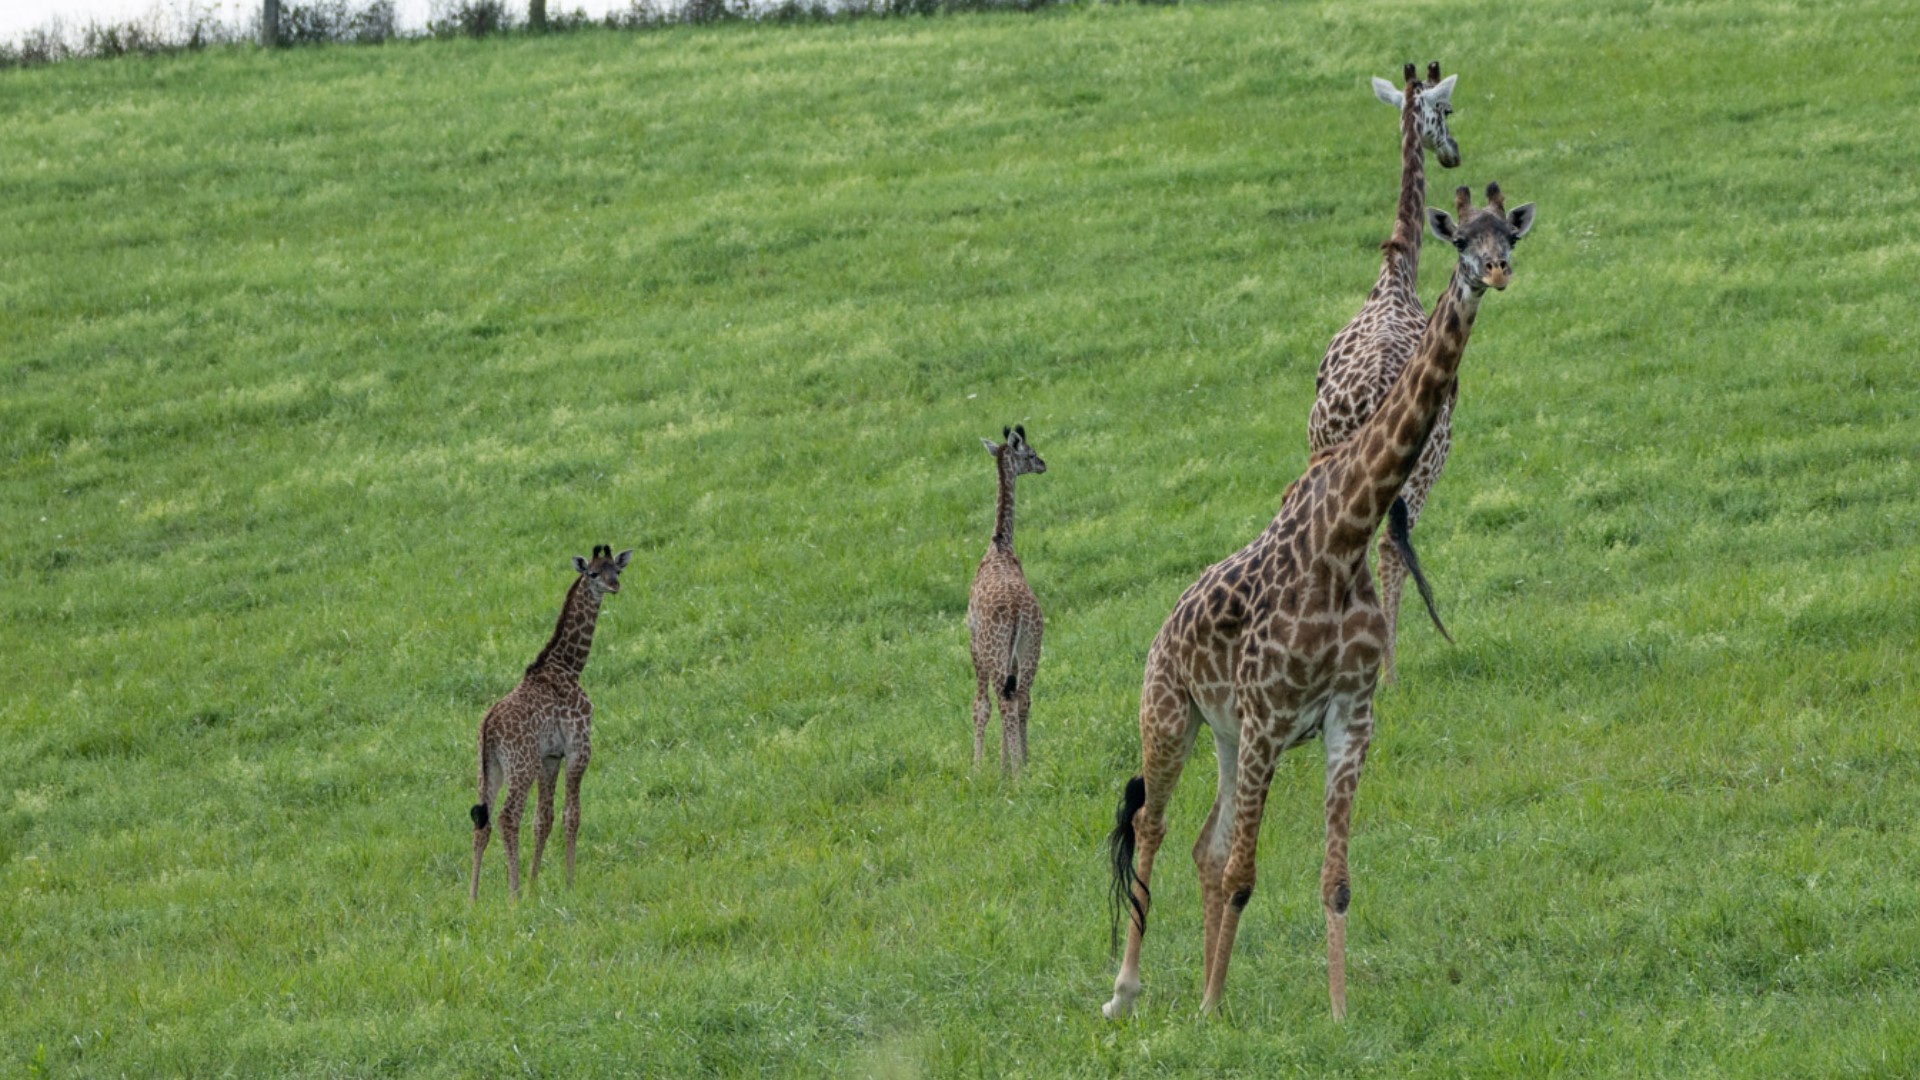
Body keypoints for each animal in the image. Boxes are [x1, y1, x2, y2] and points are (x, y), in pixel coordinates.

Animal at [468, 541, 633, 895]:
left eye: (617, 568)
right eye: (594, 573)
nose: (614, 585)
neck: (568, 666)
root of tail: (489, 726)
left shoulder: (550, 756)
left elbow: (543, 819)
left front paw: (534, 884)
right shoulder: (579, 746)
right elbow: (572, 814)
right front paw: (568, 882)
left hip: (490, 768)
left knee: (481, 822)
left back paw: (473, 898)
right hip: (521, 764)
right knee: (507, 817)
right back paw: (512, 895)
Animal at [1105, 180, 1536, 1014]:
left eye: (1510, 235)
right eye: (1462, 238)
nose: (1496, 272)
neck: (1344, 535)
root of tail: (1164, 626)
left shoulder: (1347, 717)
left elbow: (1333, 880)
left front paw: (1333, 1015)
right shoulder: (1273, 712)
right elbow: (1245, 873)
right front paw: (1211, 1011)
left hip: (1227, 734)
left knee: (1204, 845)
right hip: (1170, 714)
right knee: (1155, 827)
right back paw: (1126, 989)